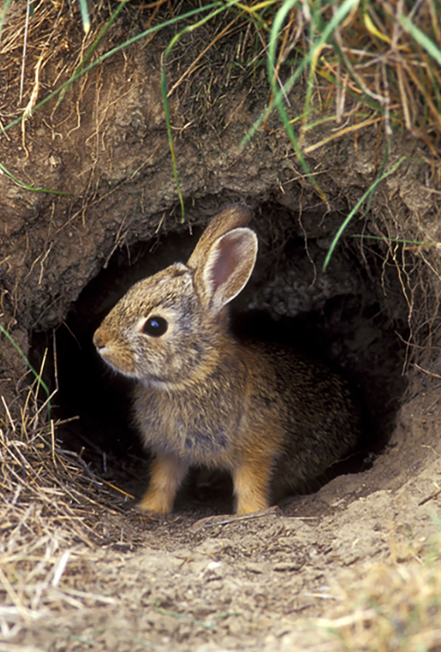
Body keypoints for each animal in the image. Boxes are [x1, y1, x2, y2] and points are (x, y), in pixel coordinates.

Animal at [92, 204, 358, 516]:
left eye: (155, 326)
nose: (99, 341)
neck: (192, 377)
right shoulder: (169, 451)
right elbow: (163, 480)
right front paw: (149, 509)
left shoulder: (256, 450)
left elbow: (250, 485)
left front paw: (250, 513)